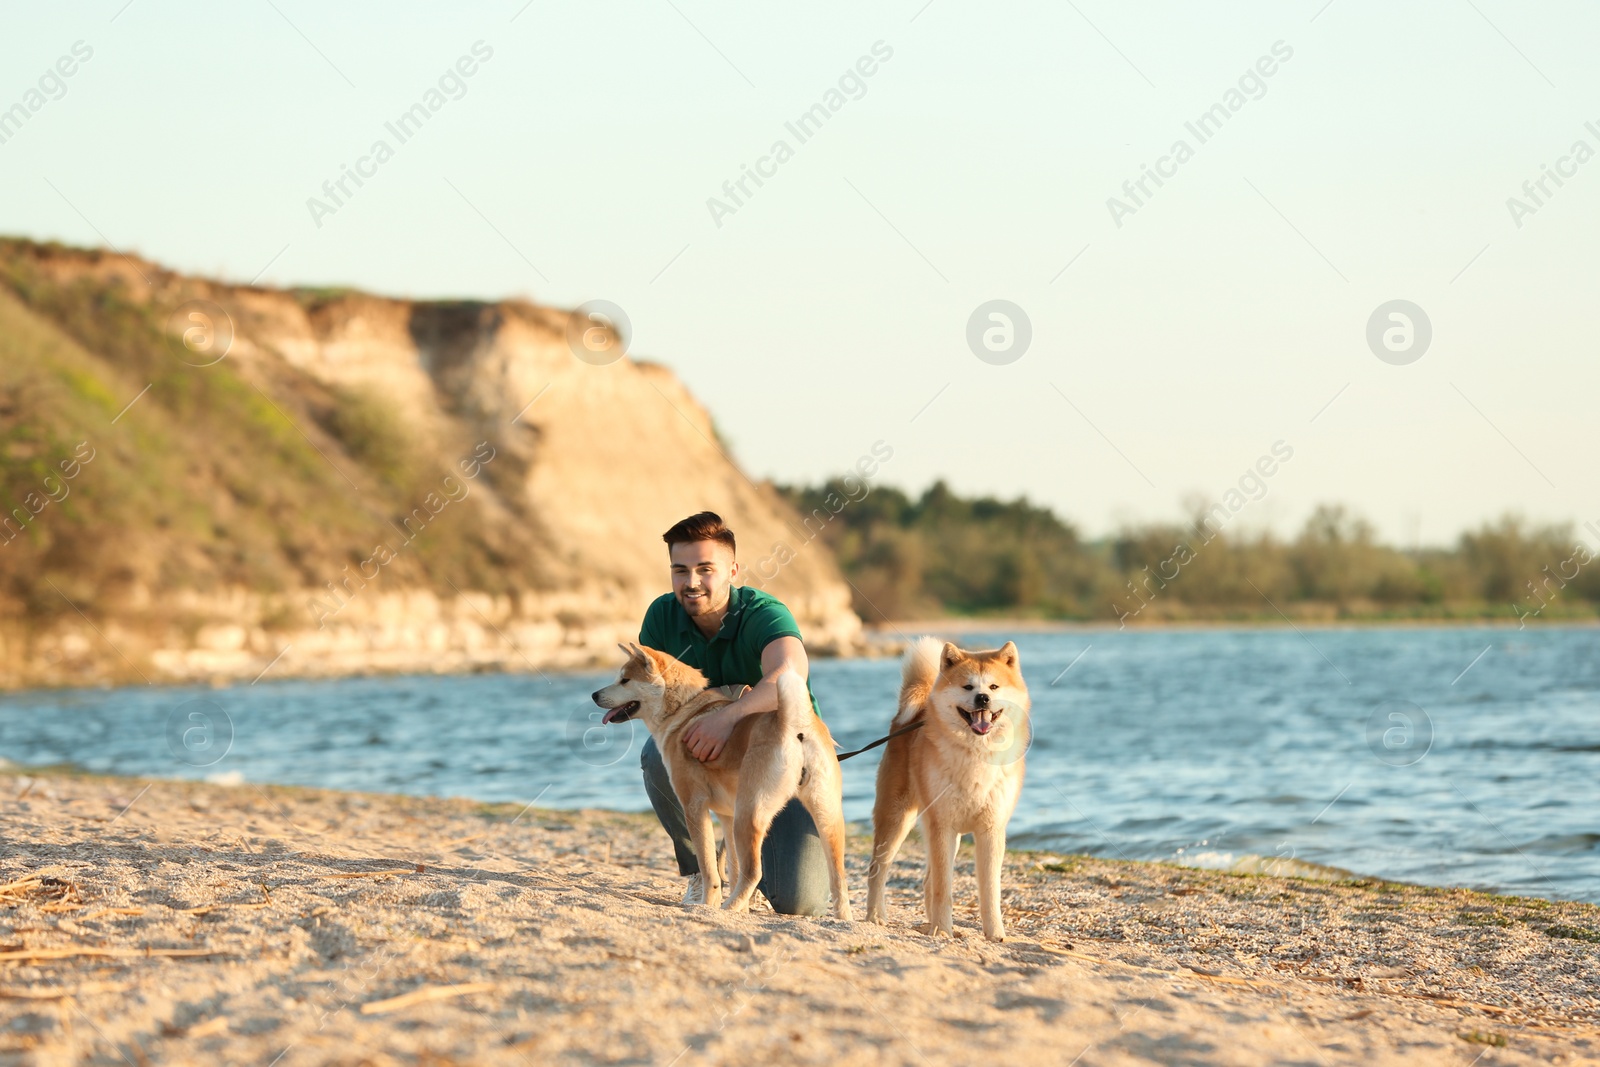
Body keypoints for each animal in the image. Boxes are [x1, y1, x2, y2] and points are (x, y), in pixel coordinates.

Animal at [870, 639, 1030, 940]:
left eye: (994, 687)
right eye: (968, 686)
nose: (982, 698)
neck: (976, 753)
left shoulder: (990, 829)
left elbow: (990, 891)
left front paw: (995, 933)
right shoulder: (943, 826)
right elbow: (943, 888)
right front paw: (943, 930)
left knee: (926, 881)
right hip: (897, 820)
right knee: (878, 869)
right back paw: (875, 916)